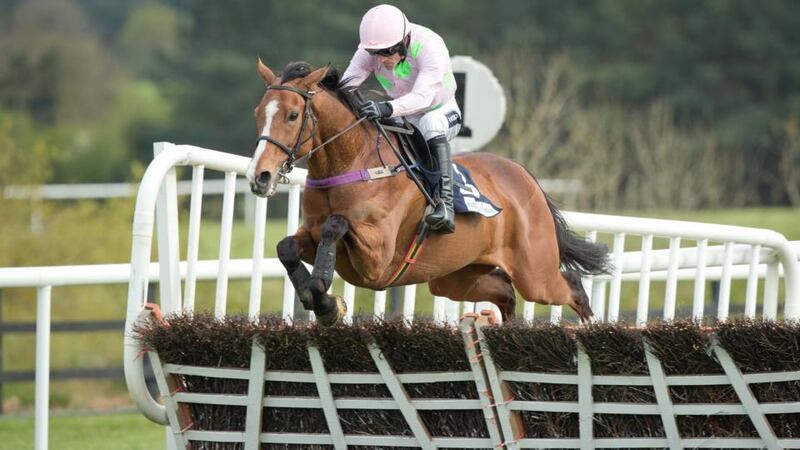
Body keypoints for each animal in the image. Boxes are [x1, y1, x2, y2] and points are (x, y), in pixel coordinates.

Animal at [244, 60, 608, 326]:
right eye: (258, 113)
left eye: (293, 115)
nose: (260, 176)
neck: (354, 163)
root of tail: (525, 177)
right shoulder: (313, 234)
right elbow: (286, 247)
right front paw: (322, 302)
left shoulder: (377, 258)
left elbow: (337, 224)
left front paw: (327, 300)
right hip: (455, 277)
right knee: (505, 292)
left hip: (535, 273)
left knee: (571, 286)